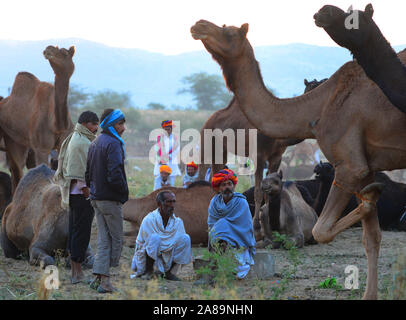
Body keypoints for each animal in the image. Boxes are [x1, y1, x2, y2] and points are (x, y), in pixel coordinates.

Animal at [0, 44, 74, 190]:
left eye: (64, 52)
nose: (48, 49)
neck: (56, 124)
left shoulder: (63, 144)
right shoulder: (42, 148)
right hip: (12, 140)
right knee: (17, 171)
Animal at [197, 97, 302, 240]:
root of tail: (208, 120)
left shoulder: (276, 157)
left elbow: (268, 191)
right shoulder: (259, 155)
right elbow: (258, 191)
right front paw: (256, 226)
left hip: (221, 151)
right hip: (207, 142)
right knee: (202, 169)